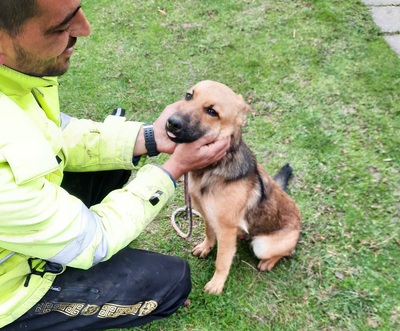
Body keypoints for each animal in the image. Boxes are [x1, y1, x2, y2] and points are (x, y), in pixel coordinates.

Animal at [165, 81, 300, 296]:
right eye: (188, 96)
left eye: (212, 111)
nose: (171, 122)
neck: (212, 169)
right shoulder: (208, 216)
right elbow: (209, 234)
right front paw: (206, 247)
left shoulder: (226, 231)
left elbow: (222, 260)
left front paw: (217, 284)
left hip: (263, 245)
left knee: (287, 251)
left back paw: (268, 262)